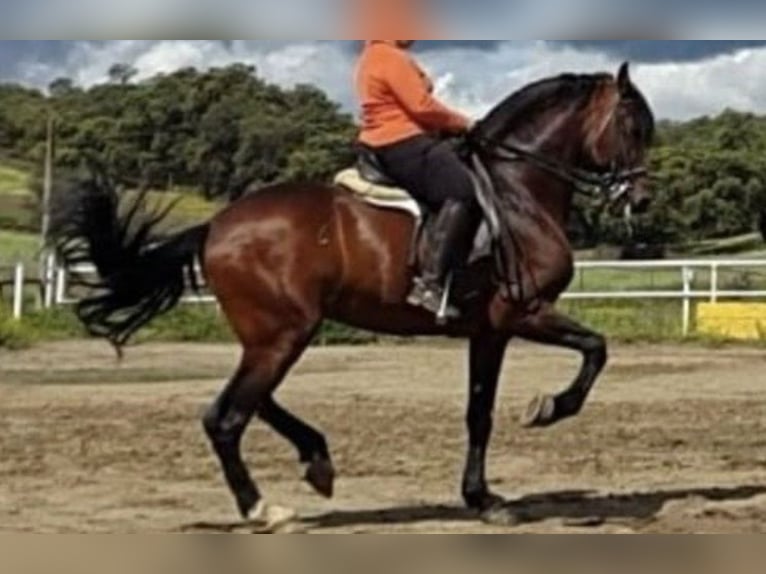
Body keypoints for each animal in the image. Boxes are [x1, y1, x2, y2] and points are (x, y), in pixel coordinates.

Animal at [55, 64, 656, 532]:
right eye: (632, 125)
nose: (644, 199)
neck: (517, 191)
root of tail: (215, 227)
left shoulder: (487, 330)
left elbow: (478, 413)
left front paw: (482, 498)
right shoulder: (521, 314)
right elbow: (596, 349)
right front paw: (547, 409)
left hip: (275, 335)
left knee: (251, 400)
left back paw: (316, 460)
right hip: (284, 334)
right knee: (226, 417)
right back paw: (264, 510)